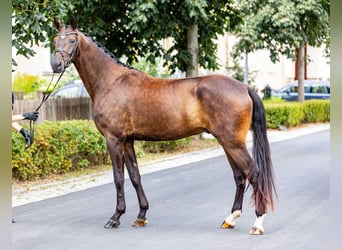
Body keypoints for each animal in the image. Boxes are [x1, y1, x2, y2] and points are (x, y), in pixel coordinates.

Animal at [50, 17, 276, 234]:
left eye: (72, 40)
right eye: (55, 40)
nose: (56, 65)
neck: (112, 82)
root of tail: (244, 87)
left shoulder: (113, 139)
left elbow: (118, 178)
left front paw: (115, 217)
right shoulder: (128, 141)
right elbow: (135, 176)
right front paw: (141, 216)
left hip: (232, 143)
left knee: (254, 174)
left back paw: (258, 222)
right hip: (227, 143)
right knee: (240, 177)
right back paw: (230, 219)